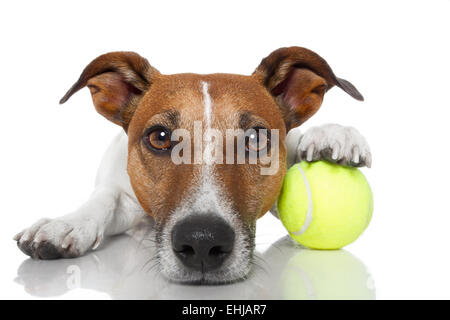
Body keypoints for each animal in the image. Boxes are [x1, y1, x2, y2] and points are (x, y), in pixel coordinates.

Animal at [14, 47, 372, 282]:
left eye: (255, 138)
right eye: (159, 137)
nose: (202, 241)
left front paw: (330, 135)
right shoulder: (124, 195)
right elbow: (105, 199)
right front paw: (66, 224)